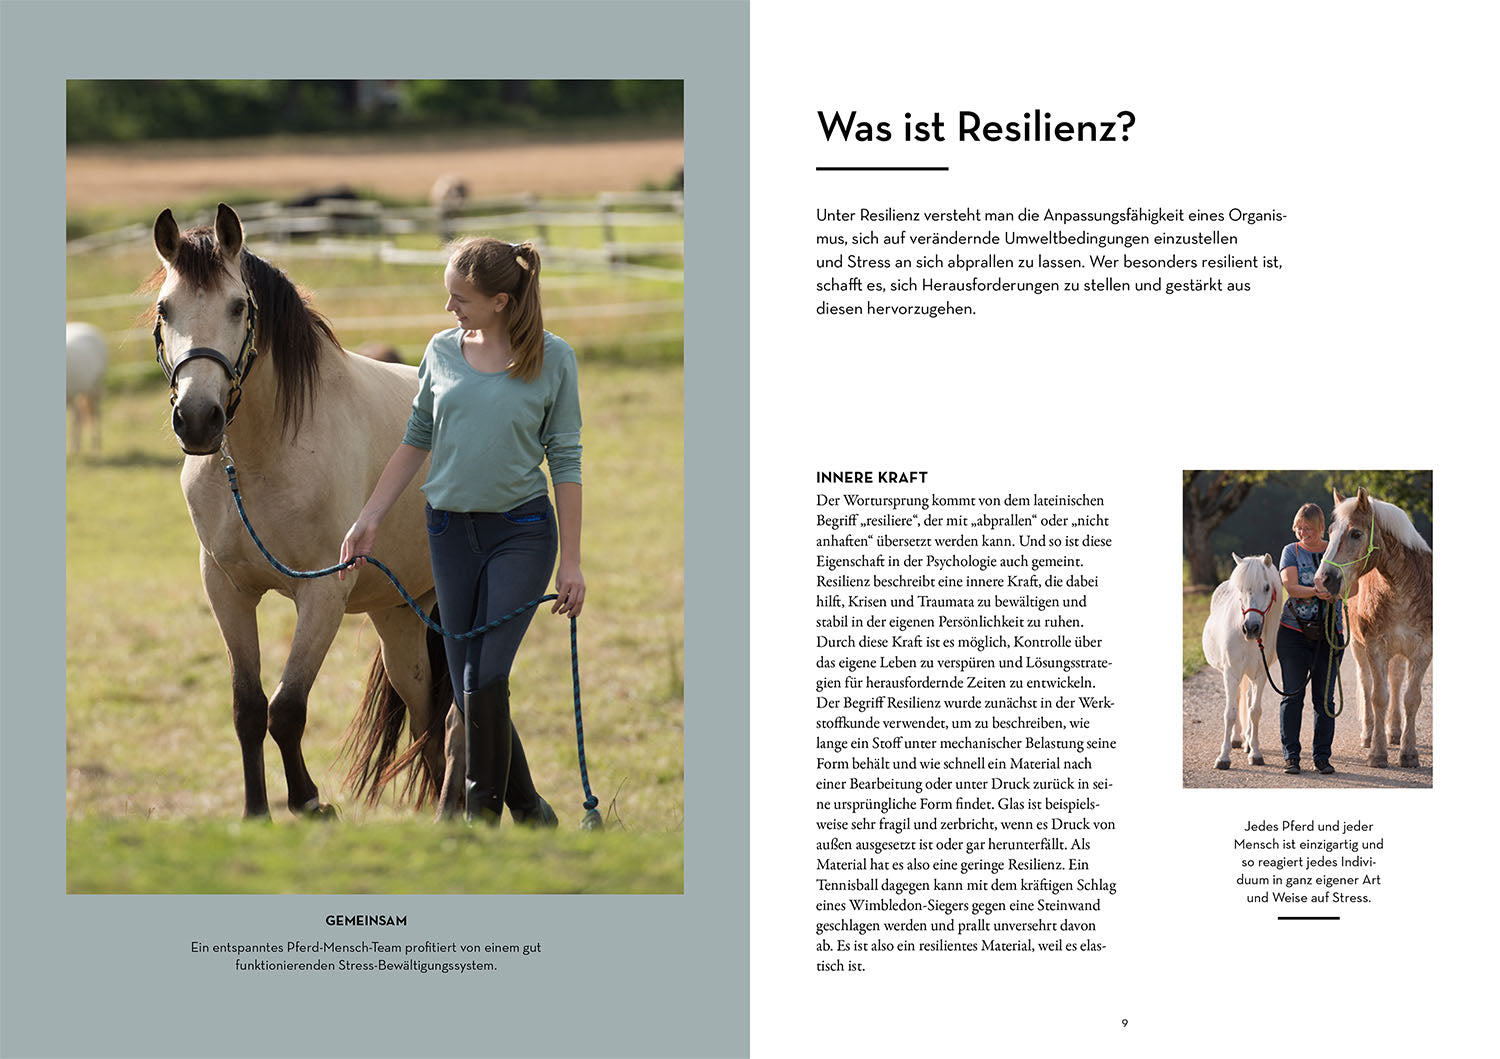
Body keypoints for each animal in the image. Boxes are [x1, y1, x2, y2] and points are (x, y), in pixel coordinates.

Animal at [148, 202, 462, 818]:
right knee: (426, 716)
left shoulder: (322, 595)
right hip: (402, 616)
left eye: (238, 305)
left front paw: (310, 802)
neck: (264, 457)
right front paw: (257, 811)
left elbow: (287, 707)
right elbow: (249, 708)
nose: (197, 420)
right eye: (165, 308)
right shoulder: (226, 590)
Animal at [1201, 552, 1284, 769]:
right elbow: (1230, 712)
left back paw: (1246, 741)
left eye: (1266, 587)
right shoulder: (1231, 672)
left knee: (1246, 699)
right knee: (1237, 699)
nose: (1251, 628)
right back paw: (1237, 739)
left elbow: (1255, 711)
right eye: (1240, 589)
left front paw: (1255, 753)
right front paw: (1223, 757)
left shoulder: (1261, 675)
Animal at [1314, 488, 1432, 768]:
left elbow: (1411, 698)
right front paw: (1377, 753)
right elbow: (1378, 697)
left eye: (1356, 533)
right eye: (1331, 531)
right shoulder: (1375, 648)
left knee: (1396, 682)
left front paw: (1408, 753)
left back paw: (1395, 732)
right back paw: (1369, 735)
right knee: (1367, 686)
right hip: (1359, 648)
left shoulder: (1423, 651)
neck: (1402, 590)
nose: (1323, 580)